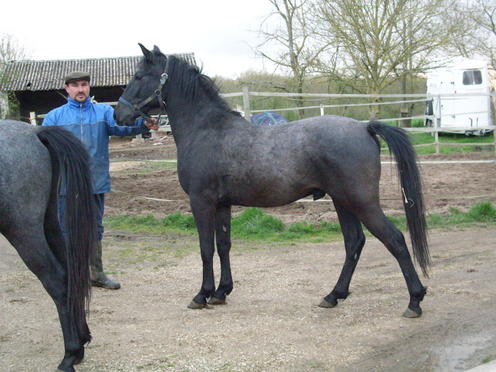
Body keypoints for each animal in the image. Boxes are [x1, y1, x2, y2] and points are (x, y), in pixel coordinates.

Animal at [0, 120, 97, 370]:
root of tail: (35, 132)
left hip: (24, 230)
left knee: (56, 280)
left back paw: (70, 354)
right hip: (49, 221)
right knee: (70, 275)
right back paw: (81, 340)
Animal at [115, 43, 430, 316]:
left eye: (139, 76)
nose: (119, 113)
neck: (207, 129)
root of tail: (365, 127)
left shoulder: (201, 202)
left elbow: (205, 248)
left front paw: (201, 295)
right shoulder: (222, 204)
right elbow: (223, 245)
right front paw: (221, 292)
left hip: (361, 202)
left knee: (394, 239)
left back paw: (414, 301)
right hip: (343, 202)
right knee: (354, 243)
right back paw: (333, 295)